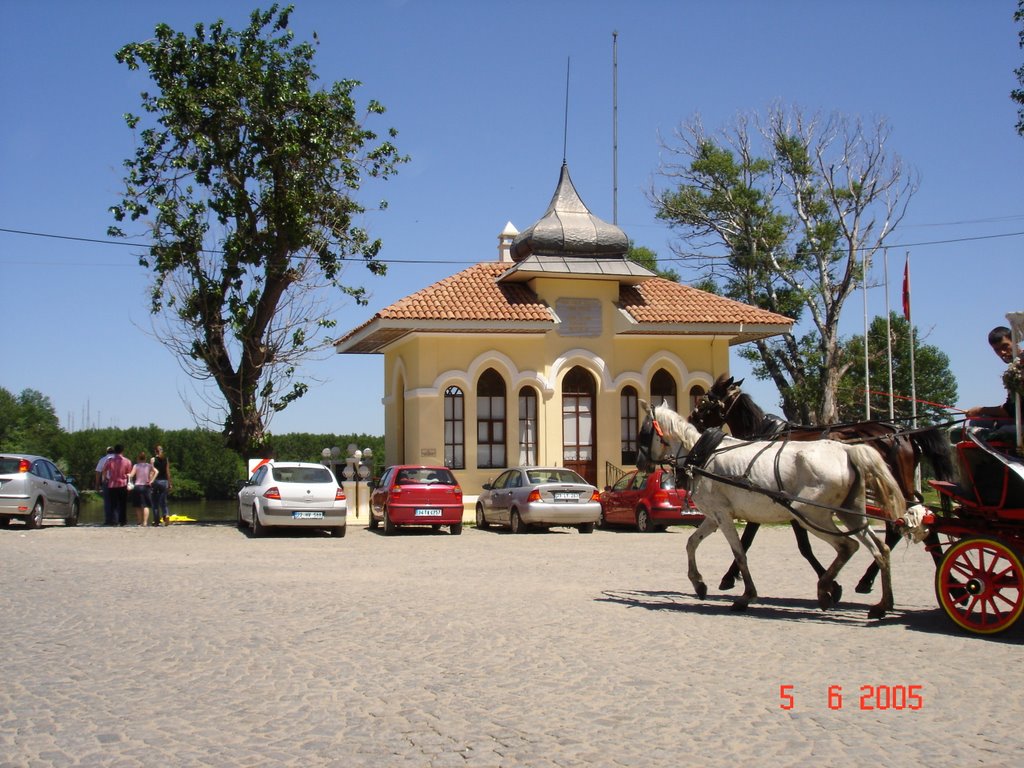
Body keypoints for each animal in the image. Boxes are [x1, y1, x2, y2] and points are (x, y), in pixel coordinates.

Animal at [634, 403, 909, 618]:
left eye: (644, 432)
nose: (640, 462)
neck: (702, 454)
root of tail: (847, 450)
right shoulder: (712, 517)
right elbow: (691, 543)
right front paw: (699, 584)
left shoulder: (722, 515)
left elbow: (740, 552)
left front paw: (746, 595)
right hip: (849, 512)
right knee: (880, 548)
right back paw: (882, 604)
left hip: (810, 513)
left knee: (848, 546)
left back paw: (825, 590)